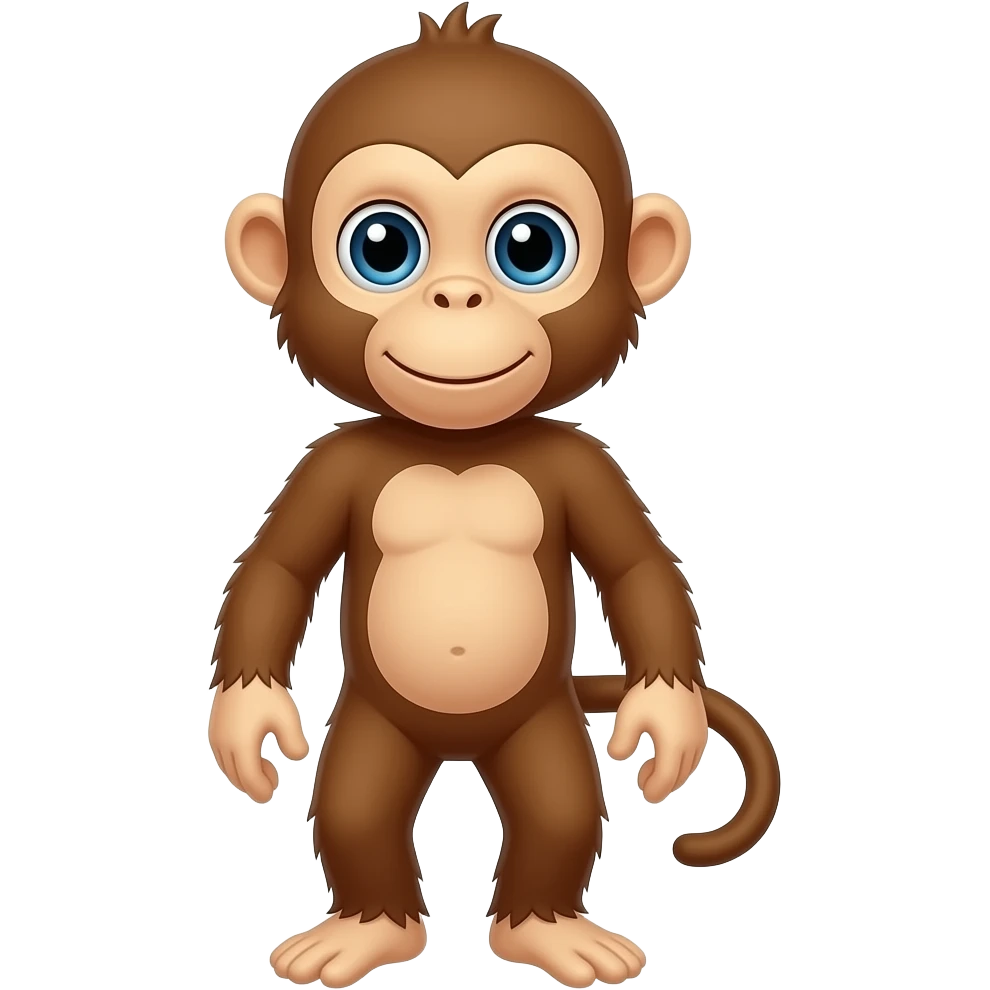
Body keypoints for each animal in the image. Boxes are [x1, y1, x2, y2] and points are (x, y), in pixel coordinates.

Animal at [210, 6, 781, 989]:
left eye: (529, 248)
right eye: (383, 247)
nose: (457, 295)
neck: (458, 448)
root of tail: (457, 745)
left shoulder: (583, 462)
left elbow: (636, 567)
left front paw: (665, 716)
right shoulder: (330, 461)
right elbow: (277, 569)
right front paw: (248, 721)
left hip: (541, 721)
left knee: (560, 808)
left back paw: (547, 929)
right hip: (375, 725)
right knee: (356, 807)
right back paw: (367, 927)